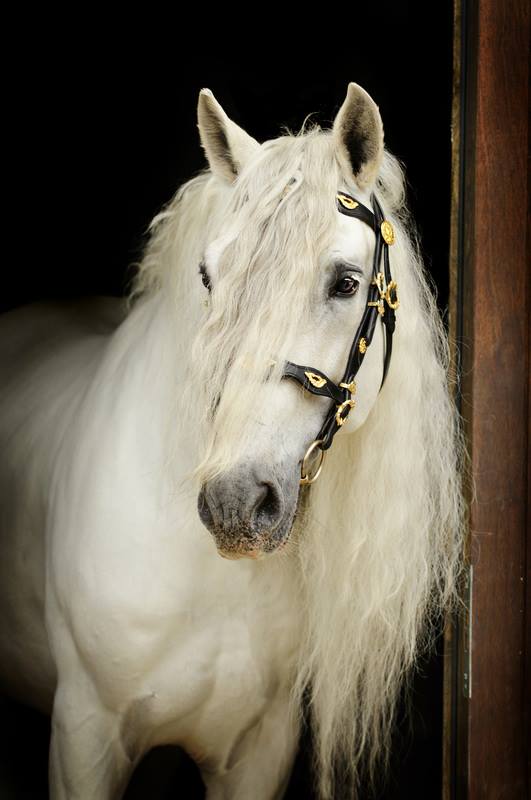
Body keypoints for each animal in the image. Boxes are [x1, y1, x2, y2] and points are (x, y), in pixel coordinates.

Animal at [0, 84, 464, 796]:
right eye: (207, 276)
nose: (233, 504)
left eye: (346, 282)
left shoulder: (260, 748)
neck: (211, 577)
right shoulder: (84, 735)